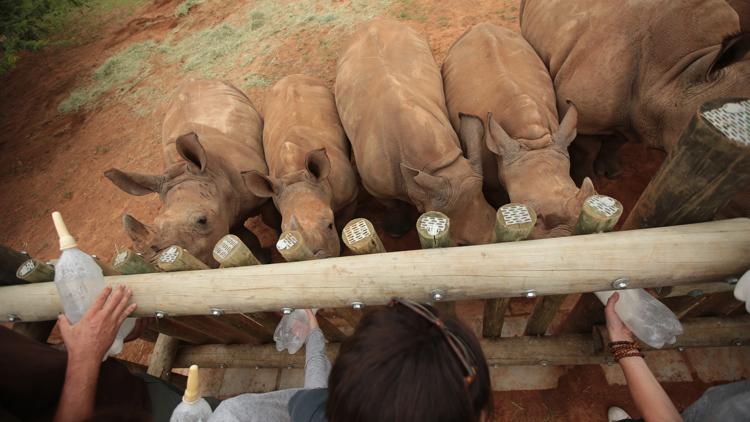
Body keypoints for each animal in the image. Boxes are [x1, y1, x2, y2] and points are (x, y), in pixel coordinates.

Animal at [105, 78, 270, 266]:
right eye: (156, 223)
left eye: (202, 221)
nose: (156, 265)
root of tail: (194, 80)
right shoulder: (225, 216)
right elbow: (245, 239)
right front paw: (262, 258)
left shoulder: (260, 193)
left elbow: (271, 219)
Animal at [242, 74, 356, 258]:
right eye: (286, 234)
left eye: (330, 225)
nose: (319, 258)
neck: (294, 172)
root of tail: (291, 76)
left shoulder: (350, 198)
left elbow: (344, 222)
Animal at [338, 19, 496, 244]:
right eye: (460, 243)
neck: (436, 166)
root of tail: (372, 21)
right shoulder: (375, 186)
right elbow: (392, 203)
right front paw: (397, 231)